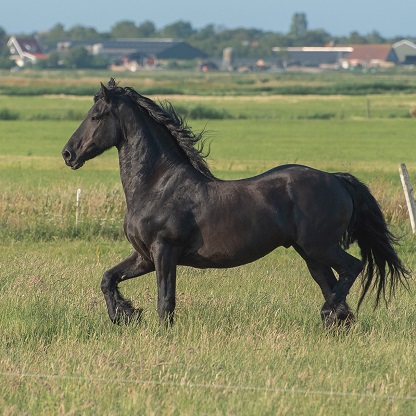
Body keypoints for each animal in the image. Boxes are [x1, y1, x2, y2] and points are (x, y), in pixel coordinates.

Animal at [61, 79, 410, 328]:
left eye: (96, 116)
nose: (68, 154)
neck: (157, 185)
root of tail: (337, 180)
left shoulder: (164, 252)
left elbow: (165, 302)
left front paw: (150, 325)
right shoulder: (145, 256)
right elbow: (108, 278)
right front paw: (124, 314)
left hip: (319, 246)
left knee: (353, 268)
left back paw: (329, 314)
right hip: (310, 254)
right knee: (333, 284)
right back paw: (338, 321)